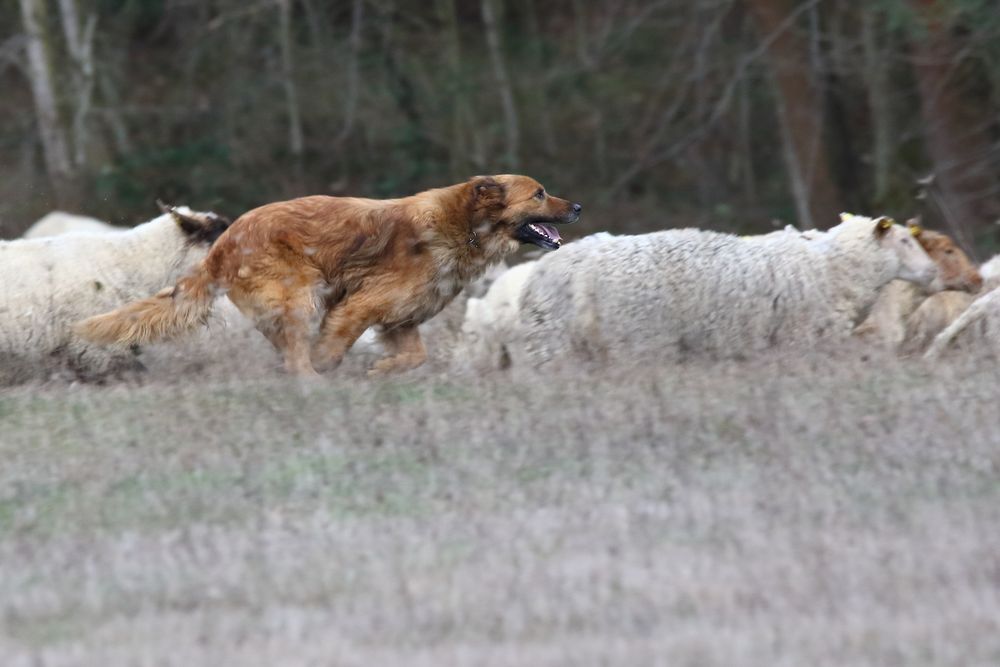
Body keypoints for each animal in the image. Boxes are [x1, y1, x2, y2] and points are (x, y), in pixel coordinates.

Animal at [76, 176, 580, 376]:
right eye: (539, 193)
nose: (577, 206)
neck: (462, 226)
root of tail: (222, 245)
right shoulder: (359, 305)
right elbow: (332, 347)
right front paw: (335, 367)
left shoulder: (401, 319)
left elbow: (414, 357)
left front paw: (383, 370)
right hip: (301, 296)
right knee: (297, 358)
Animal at [516, 214, 936, 368]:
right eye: (904, 240)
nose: (933, 273)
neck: (833, 267)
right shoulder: (799, 339)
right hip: (638, 343)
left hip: (554, 345)